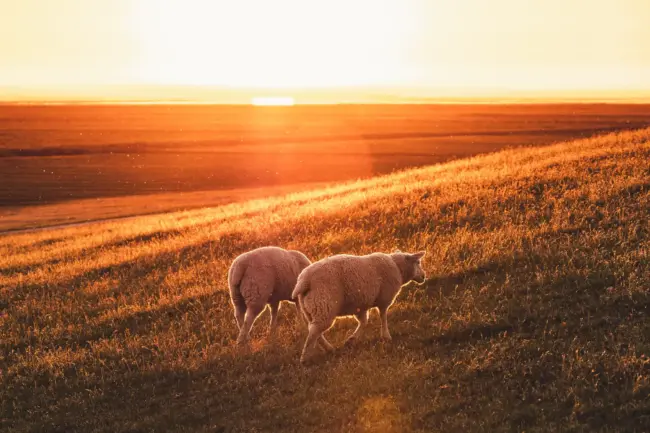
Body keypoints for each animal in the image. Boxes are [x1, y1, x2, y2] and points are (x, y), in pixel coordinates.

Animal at [292, 250, 426, 363]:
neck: (397, 267)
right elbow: (383, 316)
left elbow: (364, 321)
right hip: (324, 306)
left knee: (313, 330)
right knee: (314, 332)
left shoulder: (361, 305)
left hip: (310, 309)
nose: (424, 276)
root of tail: (304, 280)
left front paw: (352, 340)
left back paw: (329, 349)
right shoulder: (384, 299)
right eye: (418, 262)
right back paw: (305, 358)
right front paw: (386, 336)